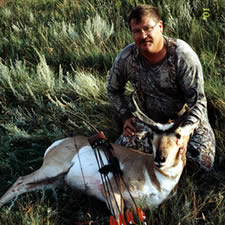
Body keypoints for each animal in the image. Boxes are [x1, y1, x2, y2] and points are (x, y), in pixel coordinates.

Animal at [0, 96, 197, 223]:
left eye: (178, 135)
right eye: (151, 135)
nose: (160, 159)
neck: (154, 175)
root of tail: (60, 142)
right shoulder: (111, 192)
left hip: (54, 181)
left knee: (25, 186)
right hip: (52, 169)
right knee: (20, 180)